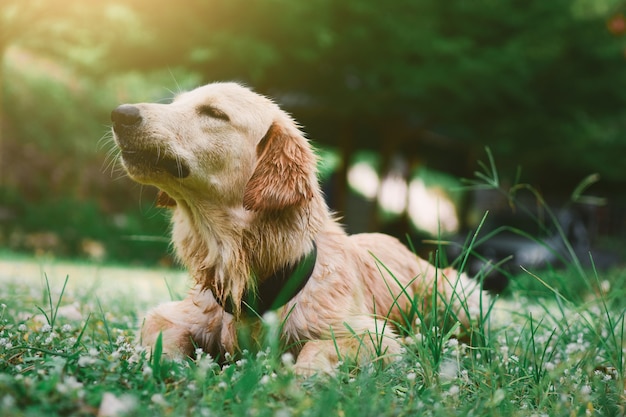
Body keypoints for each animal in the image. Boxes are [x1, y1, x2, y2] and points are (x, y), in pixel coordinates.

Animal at [111, 81, 482, 374]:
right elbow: (166, 341)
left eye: (214, 113)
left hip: (461, 295)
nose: (120, 114)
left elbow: (317, 348)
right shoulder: (171, 315)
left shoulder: (375, 337)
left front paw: (298, 381)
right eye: (176, 104)